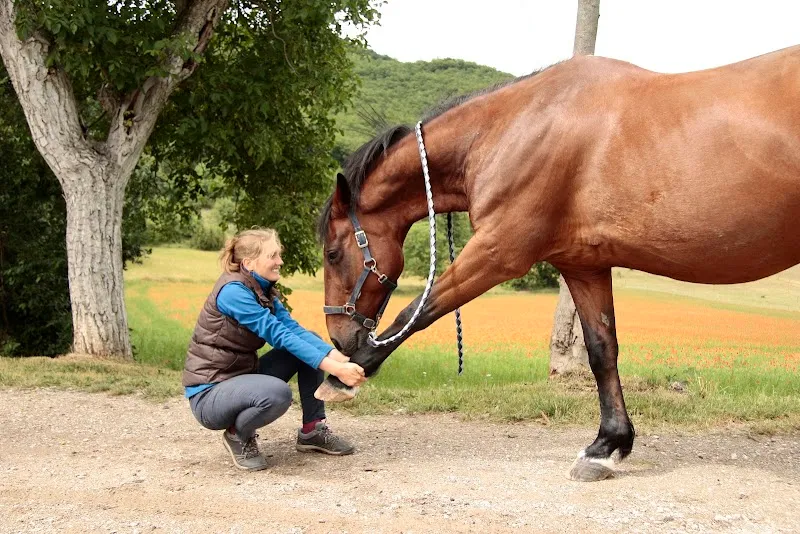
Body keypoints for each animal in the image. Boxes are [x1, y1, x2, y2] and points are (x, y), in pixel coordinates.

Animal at [315, 45, 800, 482]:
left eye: (333, 253)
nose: (338, 335)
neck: (513, 130)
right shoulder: (582, 265)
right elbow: (602, 350)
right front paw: (607, 446)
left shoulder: (498, 251)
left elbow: (415, 312)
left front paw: (344, 376)